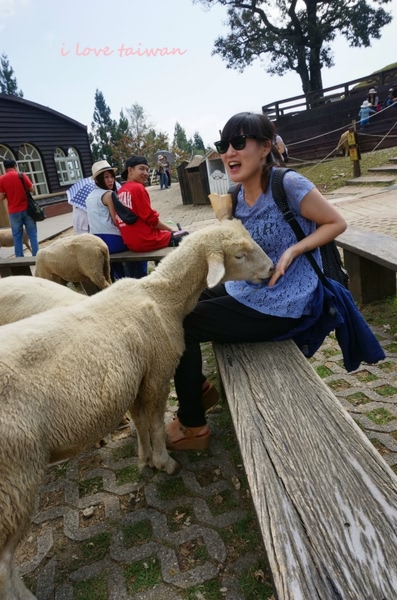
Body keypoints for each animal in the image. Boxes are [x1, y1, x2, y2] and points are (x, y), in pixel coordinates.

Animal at [0, 220, 272, 600]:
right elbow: (156, 423)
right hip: (15, 476)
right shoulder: (157, 372)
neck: (163, 297)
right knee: (4, 564)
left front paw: (144, 459)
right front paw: (164, 462)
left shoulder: (134, 379)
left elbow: (141, 422)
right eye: (239, 255)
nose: (272, 270)